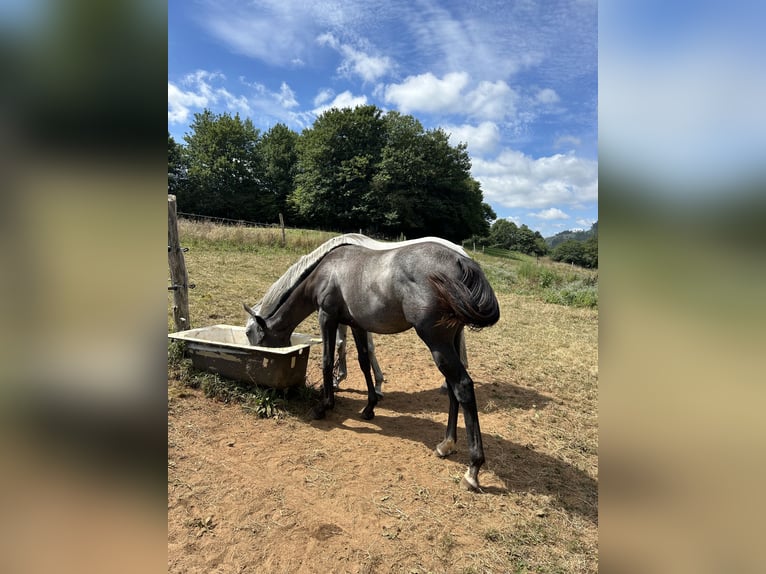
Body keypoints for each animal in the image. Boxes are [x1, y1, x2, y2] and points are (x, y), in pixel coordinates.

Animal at [243, 234, 500, 490]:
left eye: (252, 335)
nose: (260, 367)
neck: (328, 269)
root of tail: (461, 260)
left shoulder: (327, 317)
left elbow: (327, 359)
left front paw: (324, 405)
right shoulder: (356, 324)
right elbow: (364, 360)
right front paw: (369, 406)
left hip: (437, 342)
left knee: (463, 386)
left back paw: (473, 469)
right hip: (451, 340)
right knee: (453, 389)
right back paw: (446, 444)